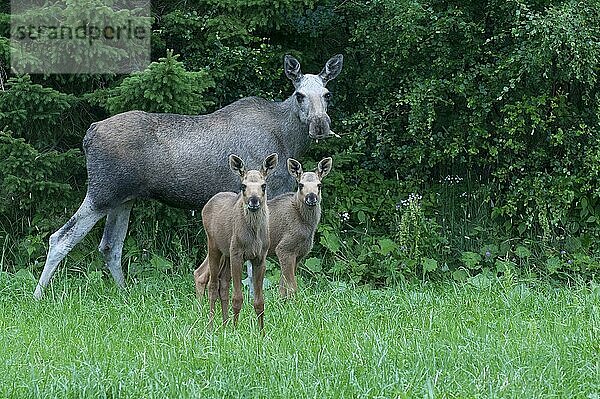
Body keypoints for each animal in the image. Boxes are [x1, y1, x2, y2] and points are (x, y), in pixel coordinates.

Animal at [32, 53, 342, 298]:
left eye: (327, 94)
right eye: (300, 95)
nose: (320, 124)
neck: (288, 138)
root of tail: (88, 134)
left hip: (123, 199)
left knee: (110, 246)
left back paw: (124, 293)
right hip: (102, 193)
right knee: (61, 238)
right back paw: (38, 296)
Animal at [202, 152, 276, 330]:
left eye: (264, 185)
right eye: (243, 186)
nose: (254, 200)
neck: (253, 236)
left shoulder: (260, 258)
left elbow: (259, 301)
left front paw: (261, 331)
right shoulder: (237, 254)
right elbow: (237, 298)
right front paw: (235, 330)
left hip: (226, 253)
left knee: (223, 284)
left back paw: (224, 324)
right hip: (214, 246)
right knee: (213, 285)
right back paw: (211, 327)